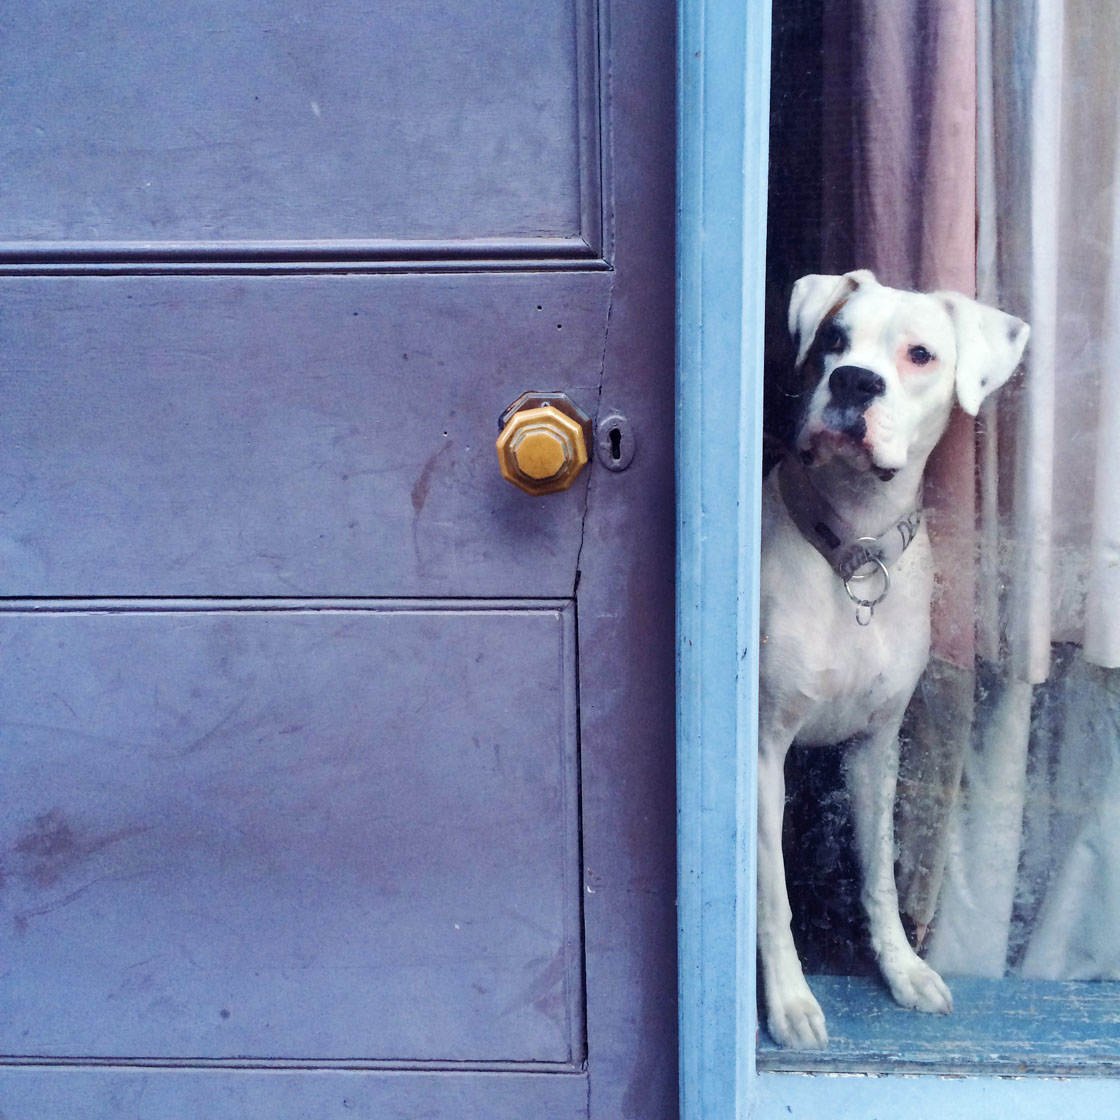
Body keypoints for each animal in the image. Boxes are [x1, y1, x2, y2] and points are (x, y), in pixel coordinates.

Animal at [757, 271, 1025, 1048]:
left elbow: (878, 871)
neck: (853, 546)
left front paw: (901, 969)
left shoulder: (876, 748)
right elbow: (771, 894)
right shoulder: (762, 753)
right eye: (832, 338)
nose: (853, 379)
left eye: (920, 355)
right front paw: (790, 1001)